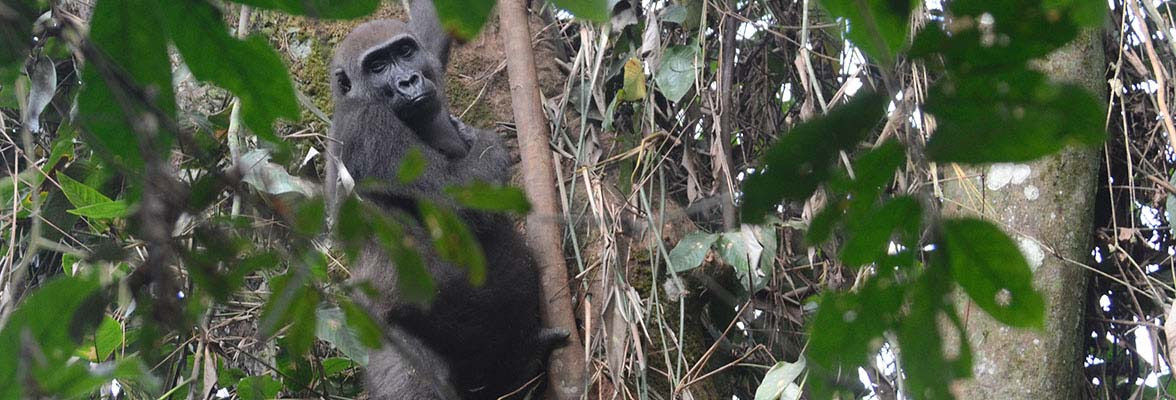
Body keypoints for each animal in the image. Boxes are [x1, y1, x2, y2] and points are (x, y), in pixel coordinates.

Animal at [326, 1, 564, 397]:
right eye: (377, 66)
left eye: (405, 52)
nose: (408, 81)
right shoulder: (364, 123)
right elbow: (454, 197)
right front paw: (487, 142)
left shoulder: (425, 51)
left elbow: (435, 22)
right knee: (411, 379)